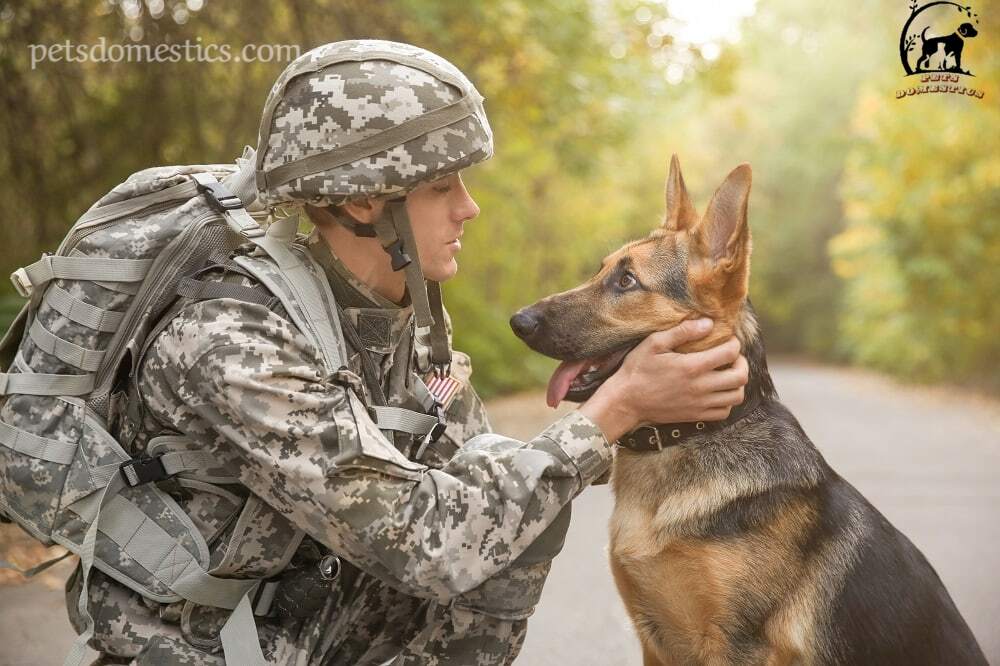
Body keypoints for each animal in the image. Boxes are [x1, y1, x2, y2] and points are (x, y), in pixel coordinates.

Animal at [508, 157, 984, 664]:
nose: (518, 321)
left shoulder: (736, 647)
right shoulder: (652, 643)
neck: (693, 432)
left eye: (627, 281)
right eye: (602, 271)